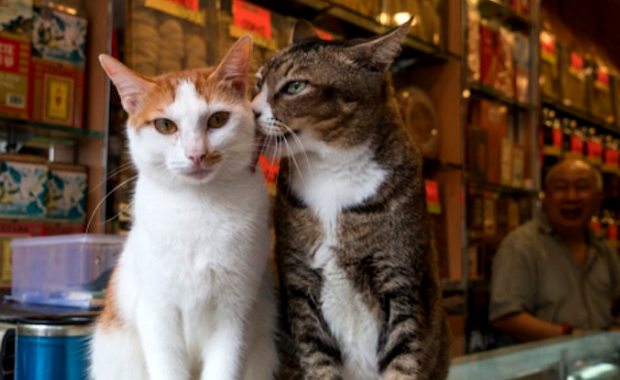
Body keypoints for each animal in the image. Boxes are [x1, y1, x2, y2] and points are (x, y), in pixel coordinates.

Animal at [89, 37, 278, 380]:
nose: (197, 154)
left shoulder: (237, 313)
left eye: (218, 119)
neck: (197, 207)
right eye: (165, 125)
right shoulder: (157, 311)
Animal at [252, 20, 450, 380]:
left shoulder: (400, 281)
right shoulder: (299, 284)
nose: (251, 109)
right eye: (259, 83)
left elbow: (402, 359)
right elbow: (317, 360)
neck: (332, 171)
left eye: (295, 86)